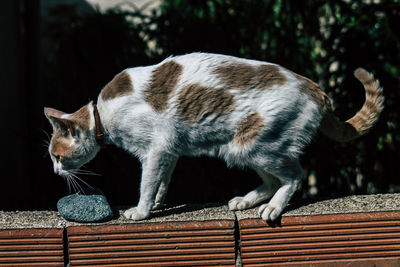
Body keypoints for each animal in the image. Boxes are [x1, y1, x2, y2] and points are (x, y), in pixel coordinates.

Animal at [44, 52, 384, 222]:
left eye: (57, 156)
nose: (55, 172)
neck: (102, 115)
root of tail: (316, 89)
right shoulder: (169, 151)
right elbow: (162, 181)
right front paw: (158, 203)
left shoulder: (155, 149)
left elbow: (146, 183)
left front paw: (141, 211)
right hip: (242, 149)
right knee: (273, 179)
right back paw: (245, 200)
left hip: (254, 144)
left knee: (294, 176)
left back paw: (273, 207)